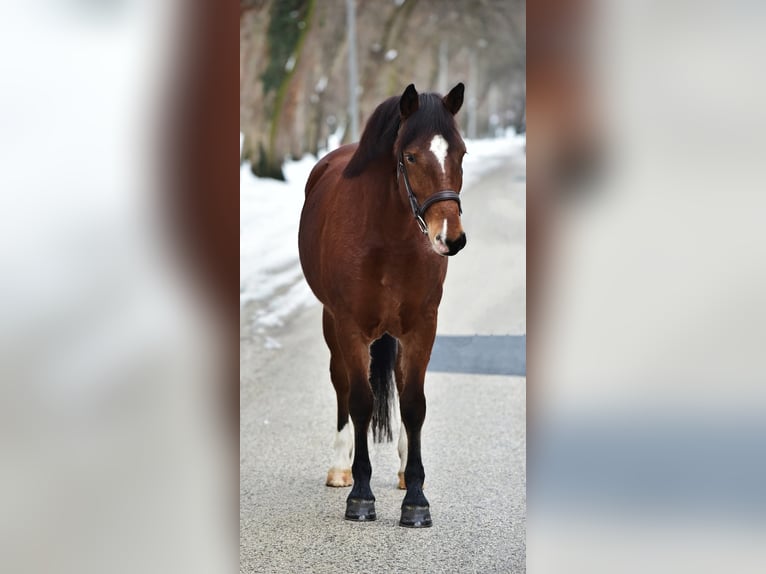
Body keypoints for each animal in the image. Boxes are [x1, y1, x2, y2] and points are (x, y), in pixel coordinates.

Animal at [298, 83, 467, 528]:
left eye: (461, 153)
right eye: (410, 156)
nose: (451, 237)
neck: (388, 238)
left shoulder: (422, 327)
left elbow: (413, 404)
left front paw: (417, 499)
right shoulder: (350, 326)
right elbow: (360, 401)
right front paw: (360, 494)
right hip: (332, 325)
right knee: (341, 386)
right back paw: (340, 467)